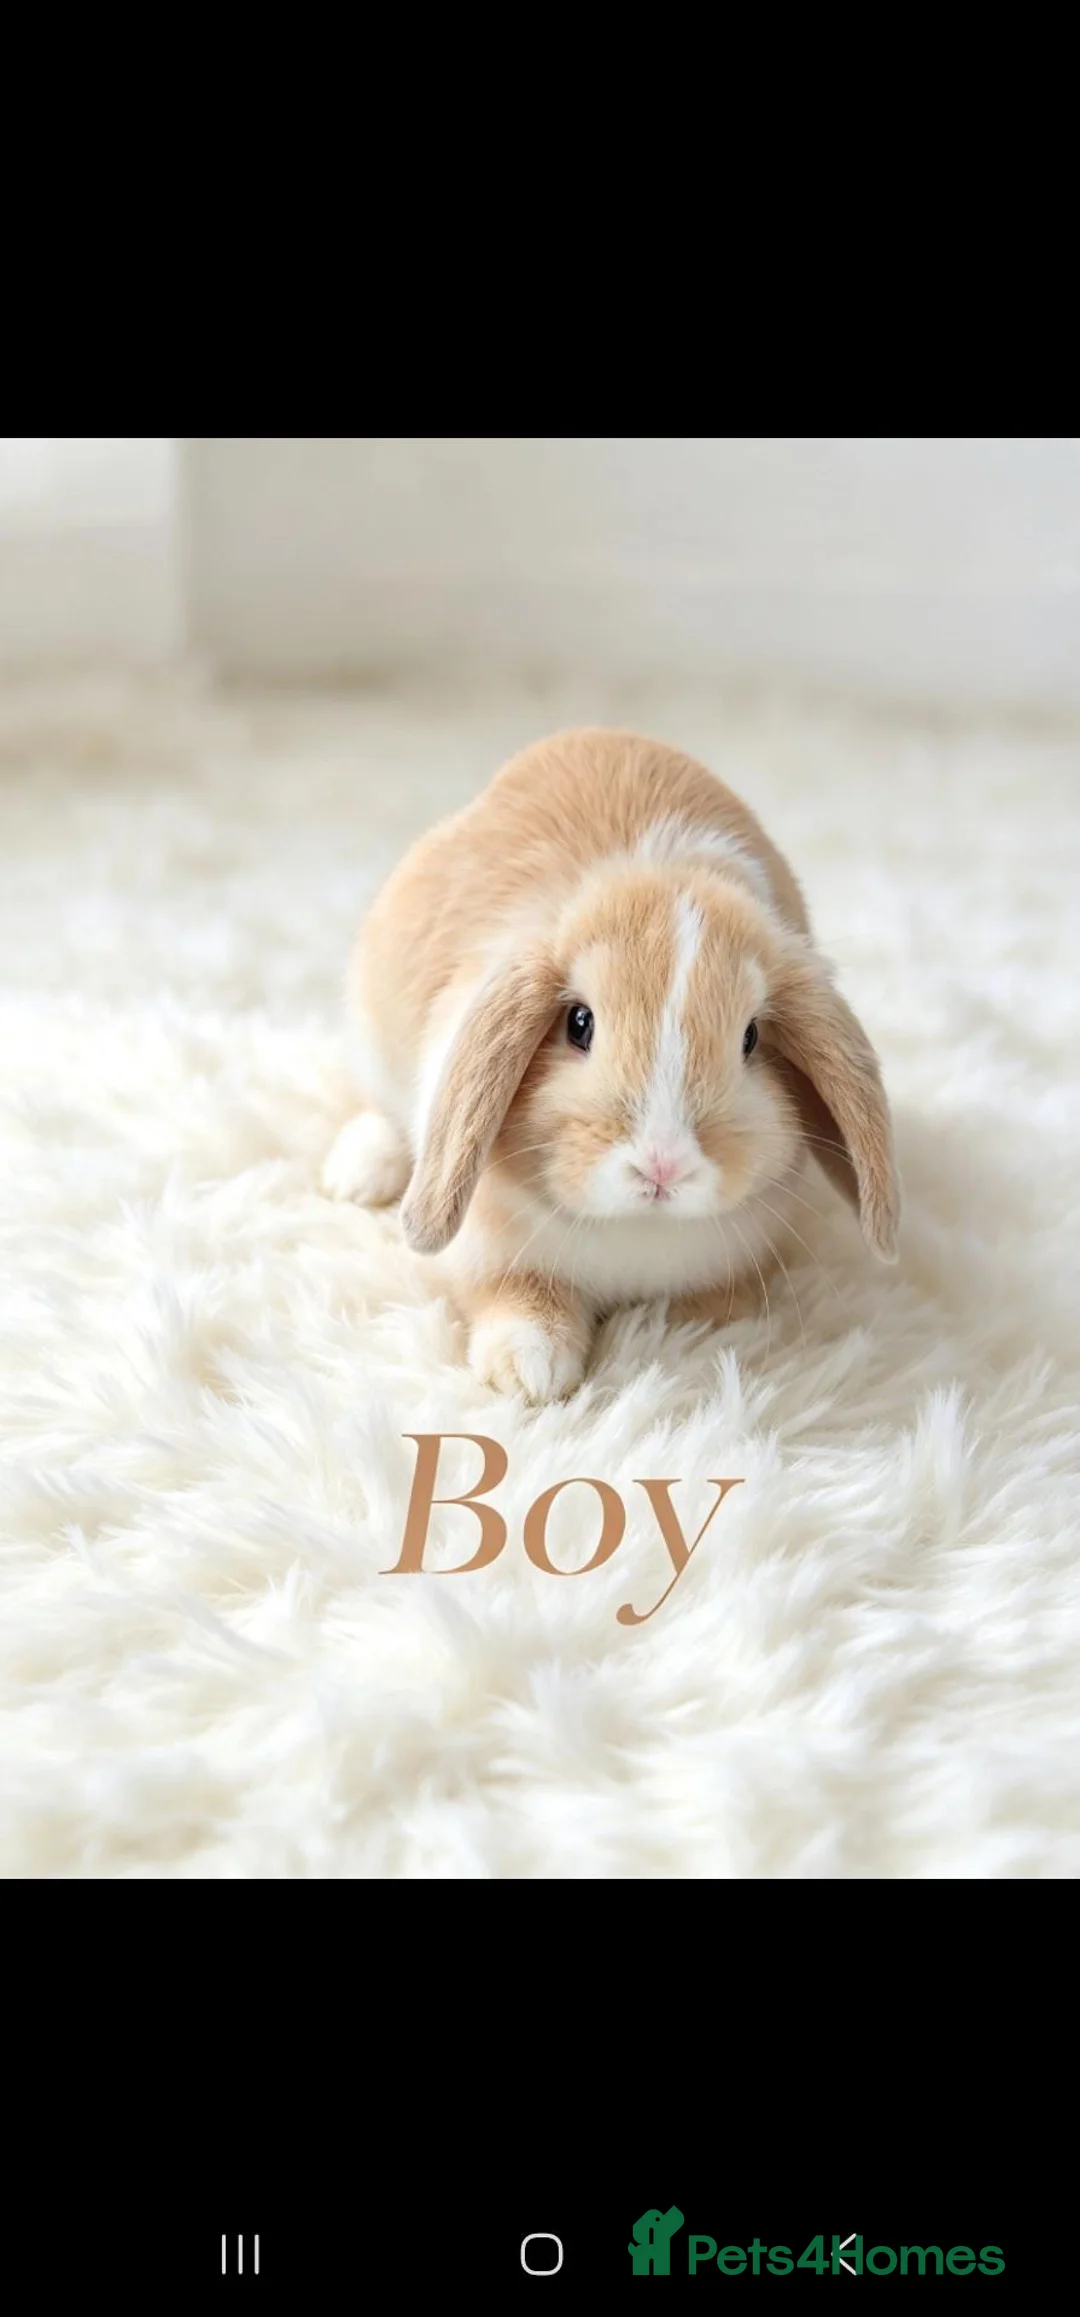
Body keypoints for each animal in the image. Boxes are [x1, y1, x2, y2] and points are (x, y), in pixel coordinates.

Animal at [323, 727, 899, 1402]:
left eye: (752, 1037)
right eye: (579, 1024)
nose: (663, 1166)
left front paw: (699, 1328)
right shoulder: (491, 1255)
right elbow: (511, 1299)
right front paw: (531, 1372)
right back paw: (358, 1175)